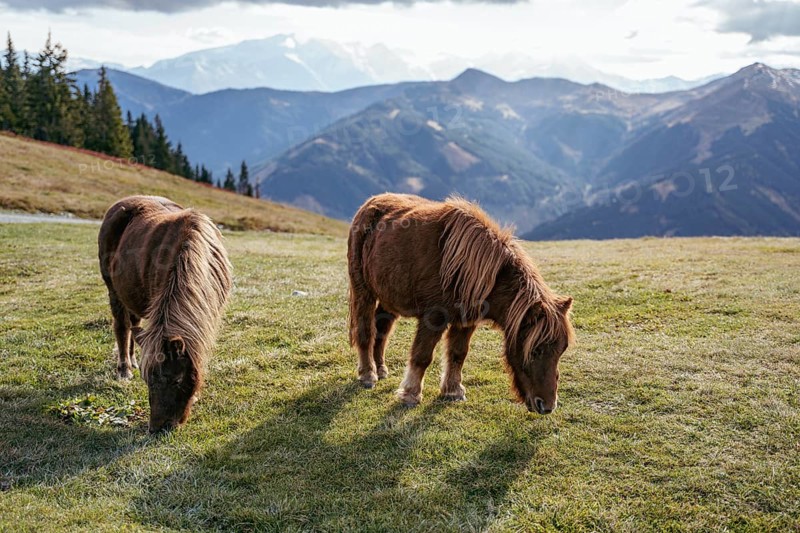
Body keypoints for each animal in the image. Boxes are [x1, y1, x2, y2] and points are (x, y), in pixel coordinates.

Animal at [98, 196, 232, 433]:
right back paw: (124, 369)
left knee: (134, 326)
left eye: (176, 380)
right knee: (122, 327)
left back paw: (133, 360)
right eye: (148, 381)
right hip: (114, 290)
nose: (157, 428)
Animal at [348, 193, 574, 414]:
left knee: (382, 330)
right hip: (363, 292)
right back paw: (368, 375)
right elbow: (422, 356)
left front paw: (453, 391)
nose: (547, 406)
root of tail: (371, 203)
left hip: (389, 299)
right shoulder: (433, 318)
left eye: (561, 350)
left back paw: (381, 369)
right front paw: (411, 394)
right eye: (536, 350)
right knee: (366, 332)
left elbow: (458, 354)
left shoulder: (466, 321)